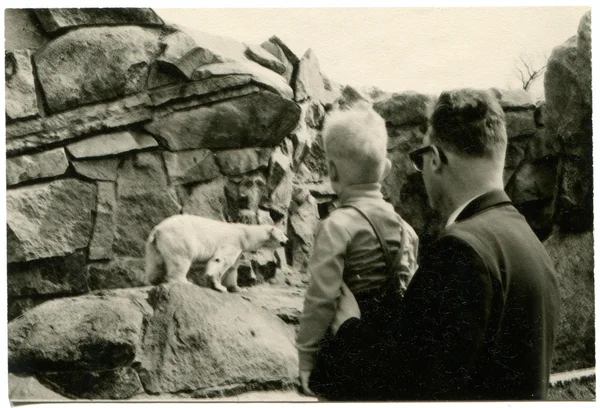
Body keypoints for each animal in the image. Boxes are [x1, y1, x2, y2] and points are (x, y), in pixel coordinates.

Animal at [144, 215, 288, 292]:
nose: (287, 241)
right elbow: (221, 260)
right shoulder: (232, 241)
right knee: (180, 260)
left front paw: (237, 288)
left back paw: (152, 281)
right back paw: (185, 281)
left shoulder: (239, 248)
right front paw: (219, 287)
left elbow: (232, 268)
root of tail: (157, 229)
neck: (244, 233)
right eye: (283, 234)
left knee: (155, 264)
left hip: (154, 246)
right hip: (179, 239)